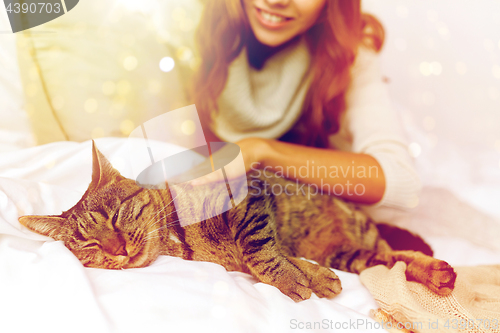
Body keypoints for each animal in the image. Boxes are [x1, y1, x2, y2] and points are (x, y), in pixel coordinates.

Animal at [19, 143, 458, 300]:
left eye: (115, 216)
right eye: (89, 245)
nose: (118, 248)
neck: (178, 240)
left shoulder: (250, 195)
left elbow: (259, 247)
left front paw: (296, 277)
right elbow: (265, 256)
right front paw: (307, 276)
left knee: (393, 253)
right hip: (352, 256)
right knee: (390, 261)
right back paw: (432, 272)